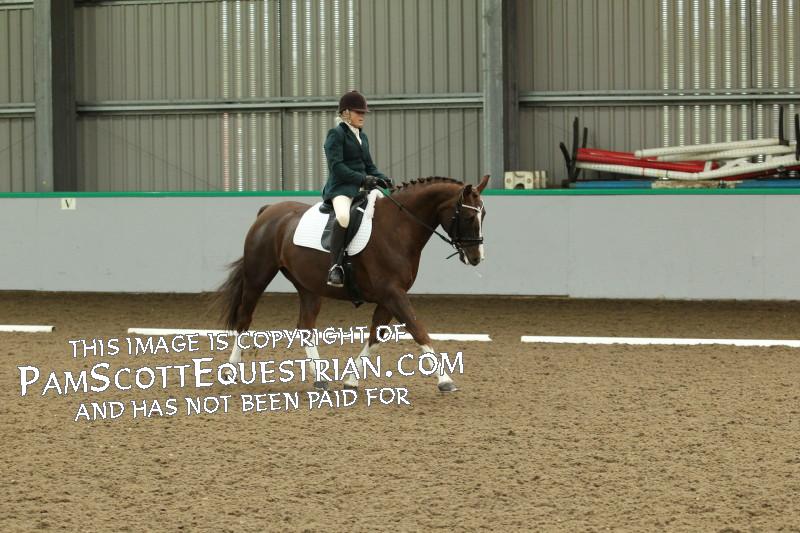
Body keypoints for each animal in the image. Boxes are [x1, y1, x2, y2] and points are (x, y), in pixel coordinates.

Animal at [215, 174, 489, 392]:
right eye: (467, 216)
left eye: (483, 214)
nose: (477, 258)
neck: (398, 228)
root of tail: (269, 210)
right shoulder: (393, 294)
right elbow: (417, 329)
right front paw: (445, 380)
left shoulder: (390, 297)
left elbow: (376, 336)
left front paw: (351, 380)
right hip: (258, 276)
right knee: (244, 319)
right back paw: (230, 370)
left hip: (308, 286)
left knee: (305, 326)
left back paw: (320, 379)